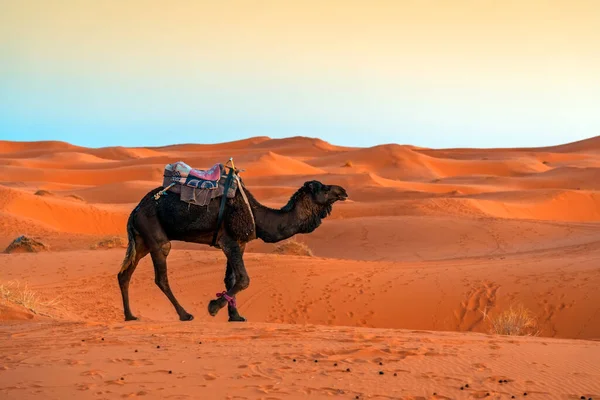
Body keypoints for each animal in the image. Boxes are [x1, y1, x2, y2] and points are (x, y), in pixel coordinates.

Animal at [116, 164, 346, 324]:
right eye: (324, 188)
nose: (343, 191)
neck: (259, 217)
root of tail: (135, 210)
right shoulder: (229, 241)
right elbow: (244, 279)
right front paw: (213, 307)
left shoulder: (238, 243)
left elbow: (231, 279)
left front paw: (235, 316)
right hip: (155, 235)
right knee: (161, 277)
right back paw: (185, 314)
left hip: (142, 240)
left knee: (124, 274)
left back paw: (130, 315)